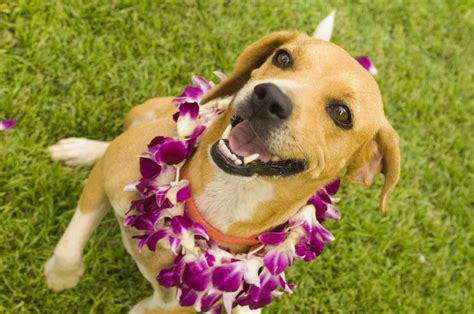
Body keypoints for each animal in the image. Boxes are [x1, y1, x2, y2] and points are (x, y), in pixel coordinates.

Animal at [44, 28, 400, 312]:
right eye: (283, 58)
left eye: (341, 114)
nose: (268, 96)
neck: (228, 194)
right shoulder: (105, 179)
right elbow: (70, 244)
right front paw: (61, 277)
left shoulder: (174, 303)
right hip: (144, 112)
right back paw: (82, 150)